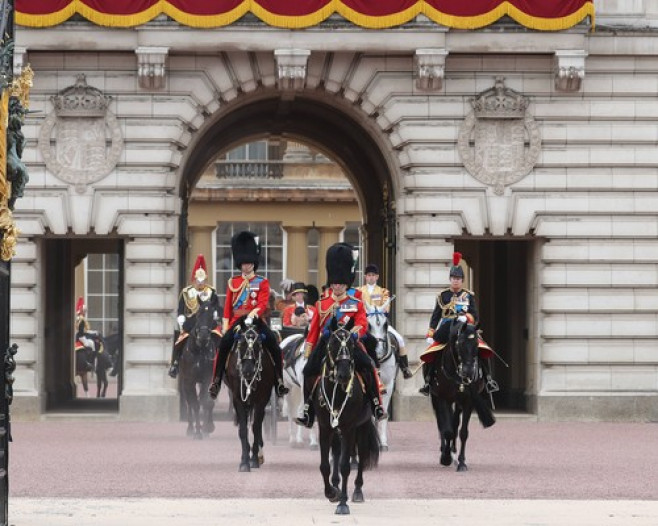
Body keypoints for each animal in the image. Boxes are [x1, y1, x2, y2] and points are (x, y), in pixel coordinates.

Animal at [179, 302, 215, 442]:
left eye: (211, 315)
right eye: (198, 314)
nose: (204, 336)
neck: (200, 351)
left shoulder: (208, 379)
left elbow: (206, 402)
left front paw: (207, 428)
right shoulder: (189, 381)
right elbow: (194, 404)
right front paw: (197, 432)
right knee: (189, 403)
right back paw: (190, 428)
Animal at [223, 318, 274, 474]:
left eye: (257, 345)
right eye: (241, 344)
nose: (248, 372)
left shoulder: (261, 400)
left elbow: (255, 428)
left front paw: (254, 459)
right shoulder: (238, 399)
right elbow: (243, 430)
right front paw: (244, 462)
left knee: (257, 424)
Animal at [312, 318, 380, 516]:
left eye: (351, 344)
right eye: (333, 343)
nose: (344, 374)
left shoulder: (349, 427)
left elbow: (345, 466)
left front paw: (342, 502)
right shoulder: (325, 427)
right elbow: (325, 465)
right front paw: (331, 493)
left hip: (361, 427)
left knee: (361, 455)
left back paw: (357, 491)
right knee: (336, 451)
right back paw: (335, 485)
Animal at [428, 324, 494, 472]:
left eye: (476, 344)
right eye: (461, 344)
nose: (468, 372)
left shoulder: (468, 401)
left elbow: (463, 432)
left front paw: (462, 462)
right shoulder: (443, 398)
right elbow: (447, 430)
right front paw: (445, 457)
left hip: (458, 402)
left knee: (455, 422)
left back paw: (453, 449)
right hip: (435, 398)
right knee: (441, 423)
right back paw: (445, 450)